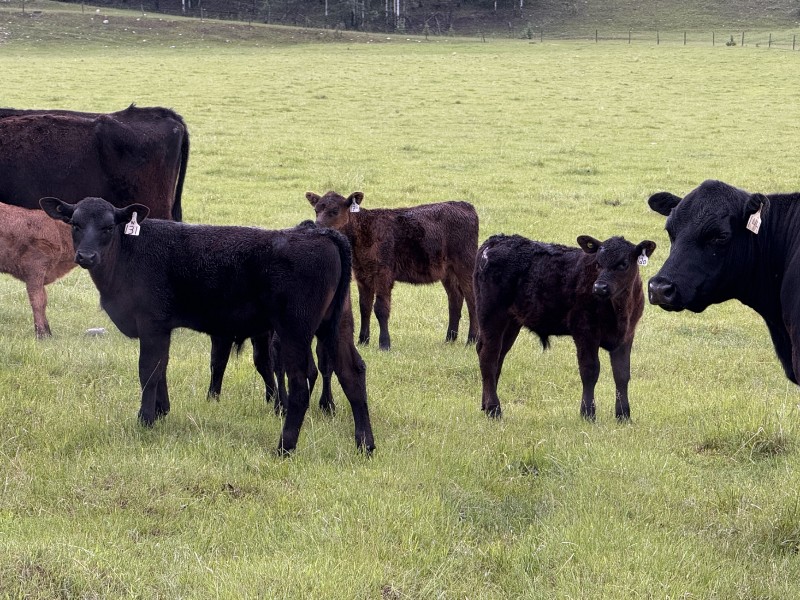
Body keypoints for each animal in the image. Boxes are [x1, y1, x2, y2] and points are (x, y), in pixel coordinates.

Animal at [39, 196, 375, 454]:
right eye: (74, 224)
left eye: (109, 227)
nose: (86, 256)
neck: (129, 252)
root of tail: (319, 233)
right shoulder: (163, 327)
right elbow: (162, 367)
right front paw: (161, 412)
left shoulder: (152, 322)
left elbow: (148, 370)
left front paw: (145, 420)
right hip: (337, 324)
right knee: (352, 372)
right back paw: (365, 445)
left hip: (294, 329)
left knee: (300, 384)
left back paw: (285, 447)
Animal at [306, 191, 479, 350]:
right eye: (316, 210)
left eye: (335, 211)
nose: (316, 228)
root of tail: (464, 205)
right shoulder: (362, 275)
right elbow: (364, 307)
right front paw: (362, 341)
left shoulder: (383, 273)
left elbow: (381, 308)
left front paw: (384, 344)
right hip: (447, 271)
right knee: (455, 298)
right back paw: (450, 338)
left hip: (466, 264)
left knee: (472, 300)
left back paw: (471, 340)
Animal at [475, 233, 656, 420]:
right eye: (598, 263)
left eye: (623, 264)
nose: (599, 287)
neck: (620, 310)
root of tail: (497, 240)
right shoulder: (584, 331)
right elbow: (590, 370)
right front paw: (588, 413)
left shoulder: (626, 335)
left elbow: (622, 374)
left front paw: (623, 415)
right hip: (491, 314)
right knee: (488, 356)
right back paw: (494, 409)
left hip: (511, 322)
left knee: (498, 356)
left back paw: (486, 405)